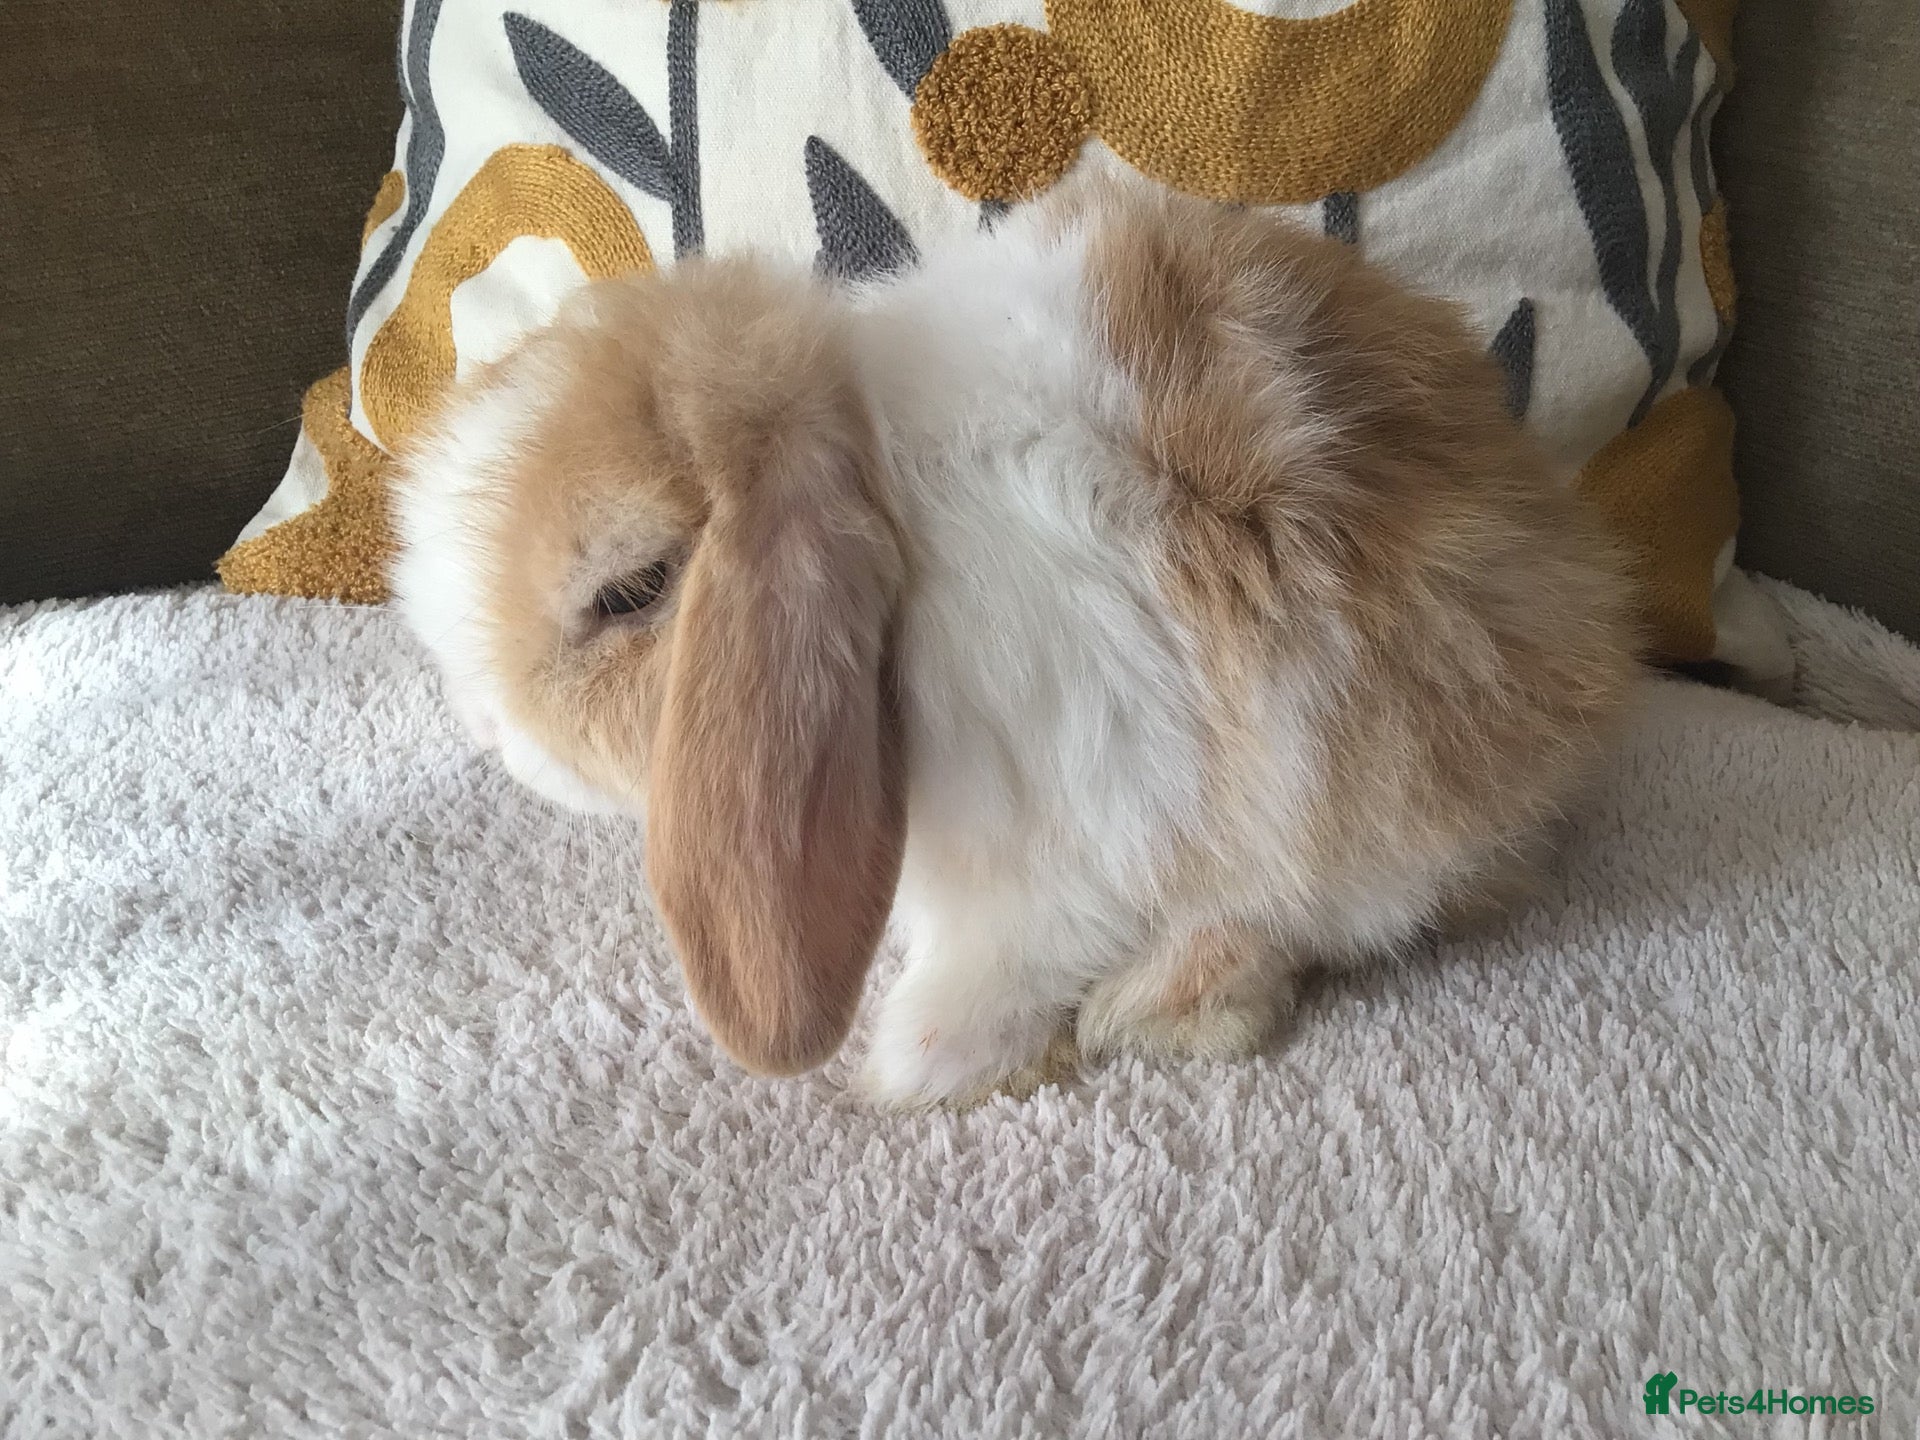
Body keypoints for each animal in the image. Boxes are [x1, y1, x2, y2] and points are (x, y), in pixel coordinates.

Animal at [389, 174, 1638, 1107]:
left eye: (633, 589)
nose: (490, 732)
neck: (892, 524)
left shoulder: (1070, 830)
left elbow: (1014, 957)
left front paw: (924, 1061)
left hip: (1370, 789)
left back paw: (1160, 1008)